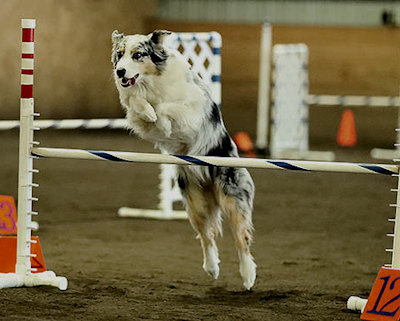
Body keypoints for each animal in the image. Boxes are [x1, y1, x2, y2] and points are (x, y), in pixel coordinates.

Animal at [112, 30, 256, 290]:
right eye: (119, 54)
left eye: (137, 55)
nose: (119, 72)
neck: (151, 82)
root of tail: (210, 184)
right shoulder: (135, 116)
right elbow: (139, 107)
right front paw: (150, 112)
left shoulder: (193, 108)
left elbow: (167, 108)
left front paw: (163, 121)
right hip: (195, 202)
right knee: (207, 236)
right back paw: (211, 268)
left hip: (232, 198)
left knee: (242, 239)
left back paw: (248, 276)